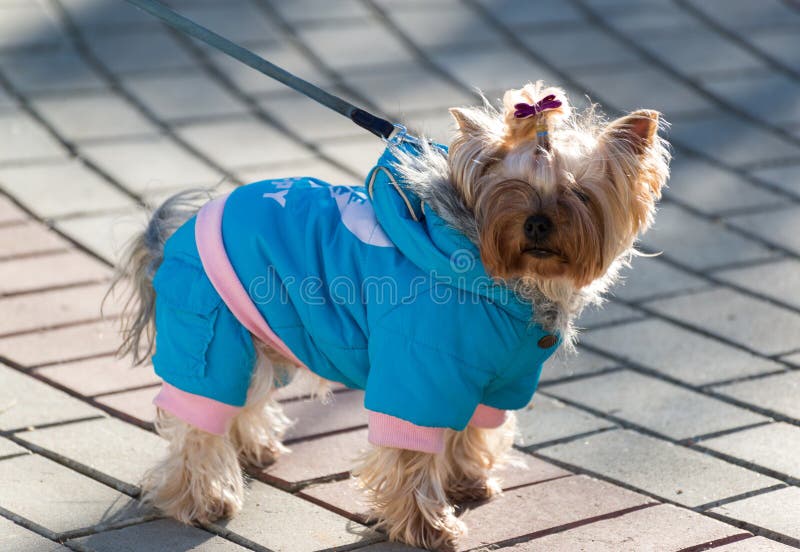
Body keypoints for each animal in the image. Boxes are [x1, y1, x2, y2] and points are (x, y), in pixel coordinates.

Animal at [114, 83, 668, 552]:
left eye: (577, 193)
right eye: (510, 187)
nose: (535, 223)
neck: (500, 277)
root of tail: (173, 234)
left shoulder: (497, 379)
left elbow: (473, 428)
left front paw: (469, 480)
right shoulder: (419, 374)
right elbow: (413, 453)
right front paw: (430, 527)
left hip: (254, 329)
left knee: (247, 392)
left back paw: (255, 448)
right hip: (211, 332)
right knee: (200, 419)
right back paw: (204, 498)